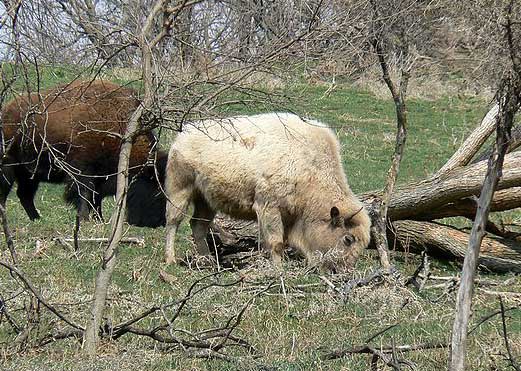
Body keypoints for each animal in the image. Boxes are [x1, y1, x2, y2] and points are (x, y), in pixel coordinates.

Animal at [0, 80, 166, 228]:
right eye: (158, 192)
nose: (161, 222)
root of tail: (4, 112)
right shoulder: (82, 171)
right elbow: (84, 195)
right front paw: (85, 219)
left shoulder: (100, 178)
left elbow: (96, 199)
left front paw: (99, 219)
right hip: (9, 167)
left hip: (29, 174)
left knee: (24, 195)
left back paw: (36, 219)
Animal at [164, 112, 370, 272]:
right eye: (348, 239)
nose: (344, 270)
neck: (310, 165)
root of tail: (183, 135)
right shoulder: (269, 207)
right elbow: (276, 243)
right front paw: (279, 270)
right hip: (180, 190)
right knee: (173, 222)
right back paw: (171, 259)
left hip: (207, 201)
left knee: (198, 226)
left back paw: (209, 262)